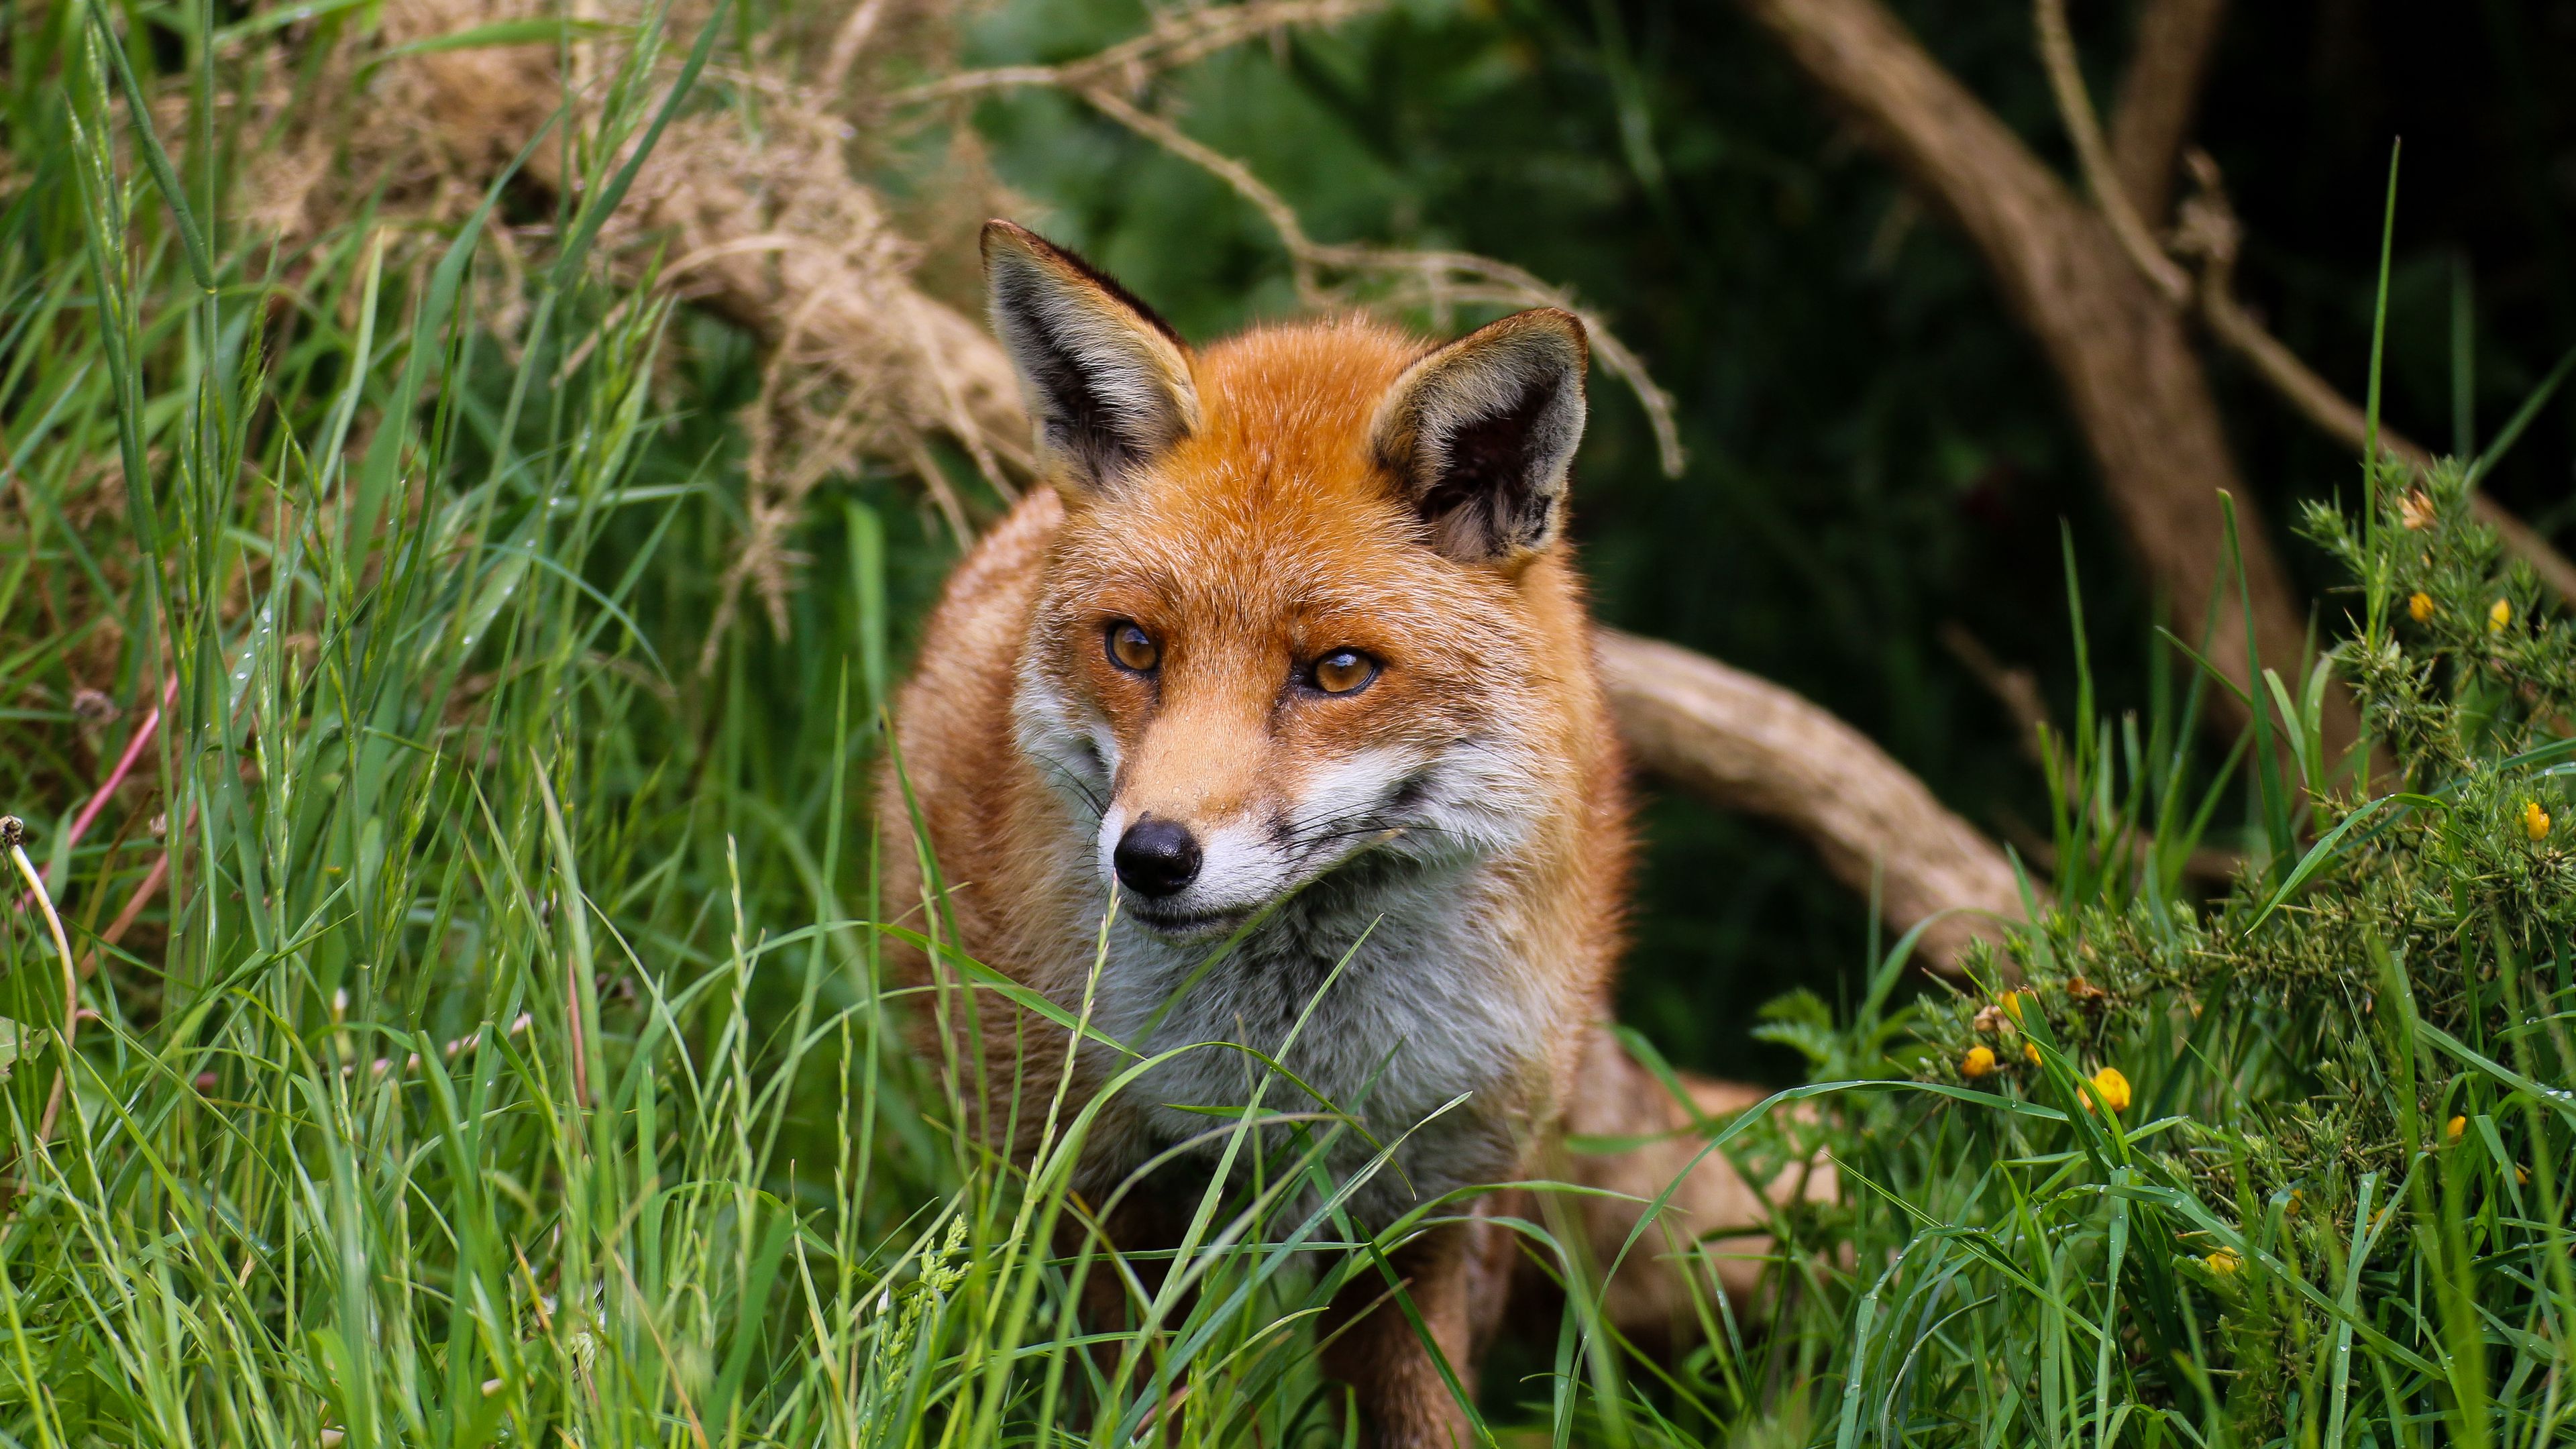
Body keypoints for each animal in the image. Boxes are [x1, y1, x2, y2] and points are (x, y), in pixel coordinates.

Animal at [878, 221, 1825, 1447]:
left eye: (1337, 672)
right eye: (1134, 647)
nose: (1152, 858)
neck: (1288, 1062)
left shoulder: (1426, 1209)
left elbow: (1424, 1412)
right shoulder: (1109, 1197)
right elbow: (1132, 1402)